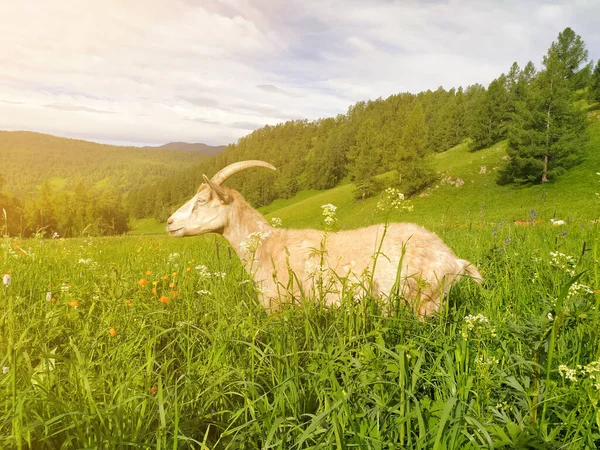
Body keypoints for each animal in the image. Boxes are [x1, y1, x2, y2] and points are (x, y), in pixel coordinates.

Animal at [165, 161, 482, 316]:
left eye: (202, 200)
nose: (169, 223)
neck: (267, 245)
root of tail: (455, 260)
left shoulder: (279, 306)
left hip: (425, 301)